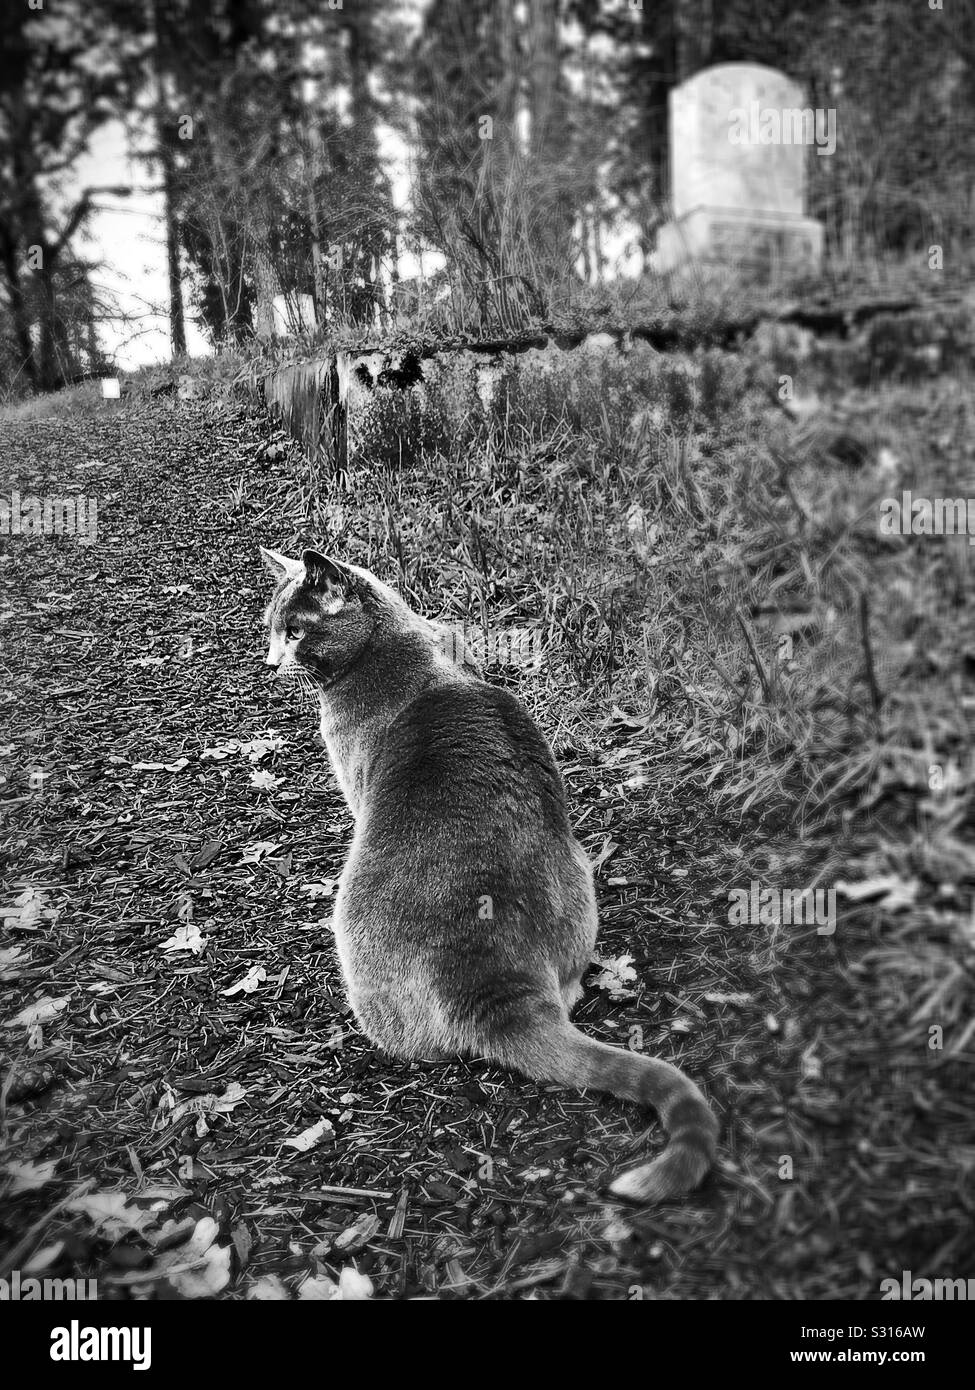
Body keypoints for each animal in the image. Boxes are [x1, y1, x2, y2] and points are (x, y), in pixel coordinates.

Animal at [258, 547, 717, 1200]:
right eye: (271, 627)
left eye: (295, 631)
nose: (271, 659)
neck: (392, 647)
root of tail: (495, 986)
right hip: (578, 875)